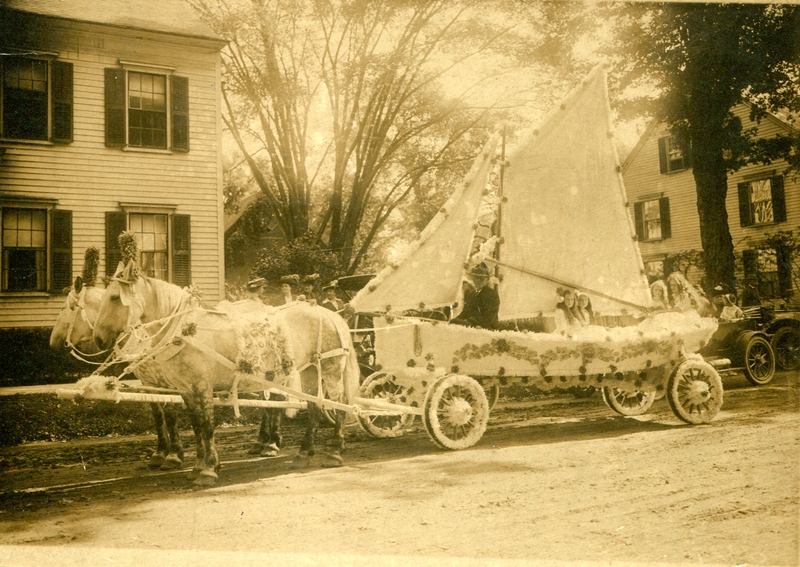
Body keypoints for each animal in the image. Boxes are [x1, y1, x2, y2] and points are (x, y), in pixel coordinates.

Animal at [50, 276, 186, 470]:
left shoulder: (168, 382)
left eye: (65, 308)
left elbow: (171, 413)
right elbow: (158, 414)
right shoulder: (148, 383)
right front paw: (160, 453)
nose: (52, 342)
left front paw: (174, 455)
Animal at [90, 262, 360, 488]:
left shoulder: (201, 387)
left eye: (114, 297)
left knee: (341, 405)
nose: (98, 339)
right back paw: (304, 453)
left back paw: (334, 452)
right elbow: (197, 427)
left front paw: (208, 470)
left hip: (331, 368)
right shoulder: (186, 390)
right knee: (315, 407)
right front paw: (198, 466)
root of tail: (329, 314)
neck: (185, 330)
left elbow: (207, 426)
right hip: (310, 371)